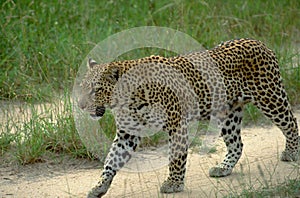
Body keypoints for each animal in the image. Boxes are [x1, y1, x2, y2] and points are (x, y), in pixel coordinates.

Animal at [78, 38, 298, 197]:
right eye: (82, 88)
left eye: (96, 90)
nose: (80, 105)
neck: (127, 100)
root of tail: (260, 43)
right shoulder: (127, 134)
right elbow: (111, 160)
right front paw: (99, 186)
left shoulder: (177, 124)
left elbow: (176, 157)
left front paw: (173, 184)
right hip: (229, 114)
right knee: (237, 144)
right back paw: (223, 168)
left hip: (270, 98)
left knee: (291, 123)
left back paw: (291, 153)